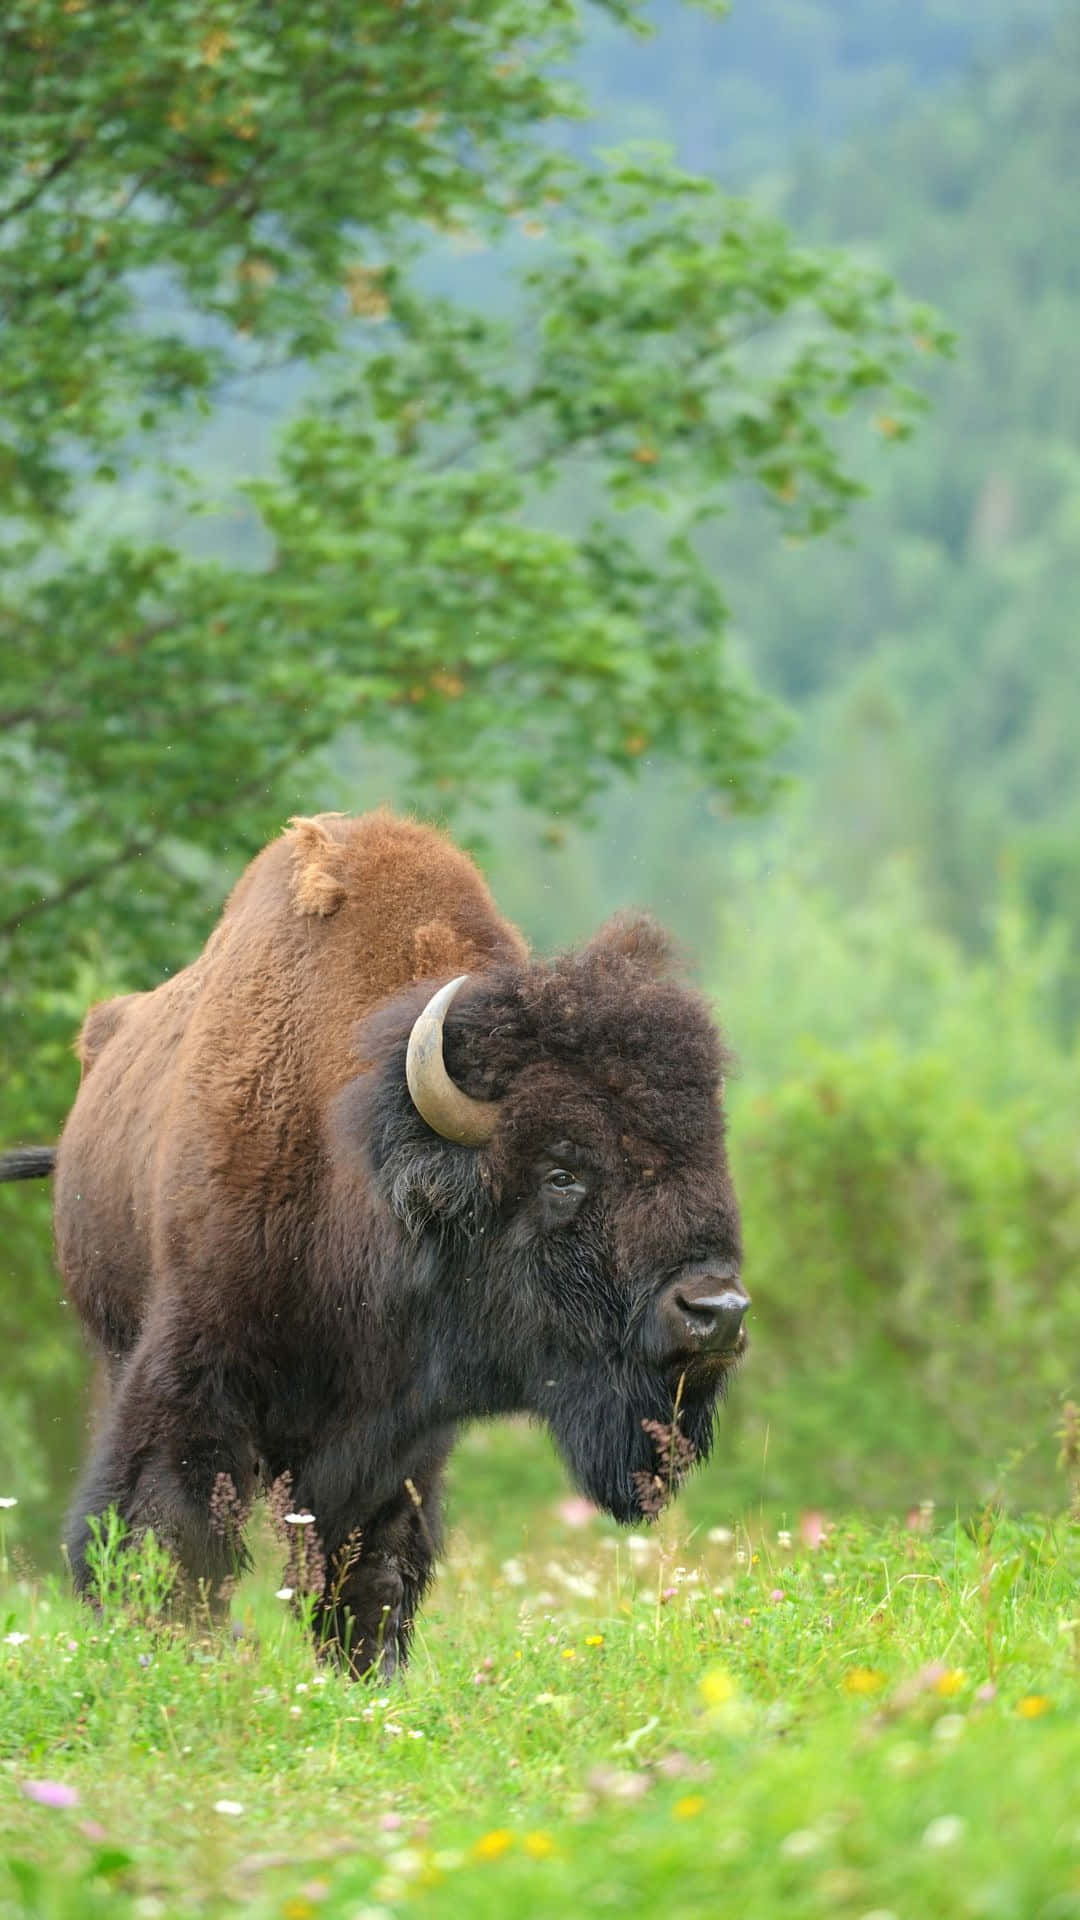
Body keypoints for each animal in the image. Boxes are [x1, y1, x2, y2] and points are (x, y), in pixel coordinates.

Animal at [0, 802, 745, 1674]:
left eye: (709, 1150)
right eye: (561, 1170)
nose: (716, 1311)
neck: (357, 1160)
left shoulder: (402, 1433)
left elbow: (374, 1560)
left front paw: (368, 1669)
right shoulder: (194, 1370)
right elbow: (170, 1528)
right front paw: (182, 1648)